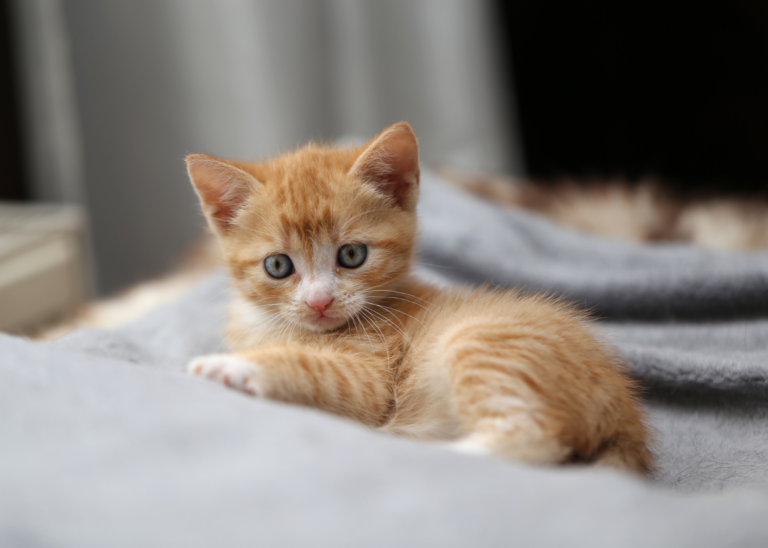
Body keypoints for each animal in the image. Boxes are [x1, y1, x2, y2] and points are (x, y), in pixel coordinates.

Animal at [186, 122, 656, 474]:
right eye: (278, 266)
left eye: (352, 255)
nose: (319, 302)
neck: (276, 326)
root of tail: (624, 414)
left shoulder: (370, 377)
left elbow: (311, 369)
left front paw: (234, 366)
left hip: (480, 343)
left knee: (536, 440)